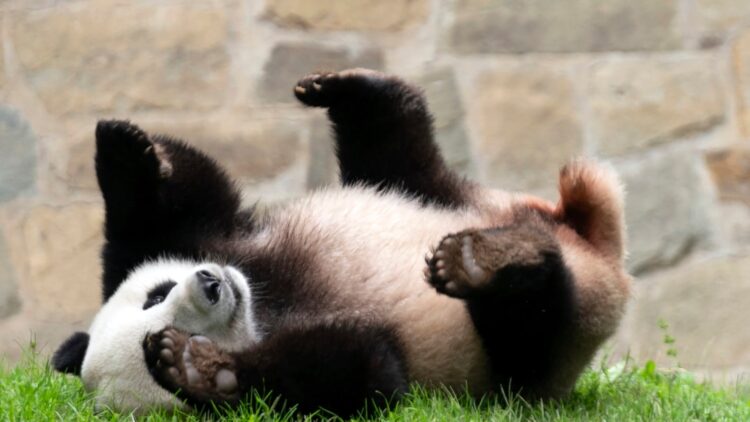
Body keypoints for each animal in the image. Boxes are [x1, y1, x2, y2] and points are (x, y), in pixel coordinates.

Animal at [51, 68, 631, 416]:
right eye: (168, 319)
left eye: (156, 294)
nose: (212, 284)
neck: (264, 303)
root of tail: (595, 247)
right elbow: (365, 375)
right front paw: (198, 369)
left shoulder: (216, 240)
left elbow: (182, 205)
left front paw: (124, 149)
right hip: (534, 357)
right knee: (532, 324)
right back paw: (487, 264)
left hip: (448, 196)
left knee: (399, 153)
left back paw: (350, 90)